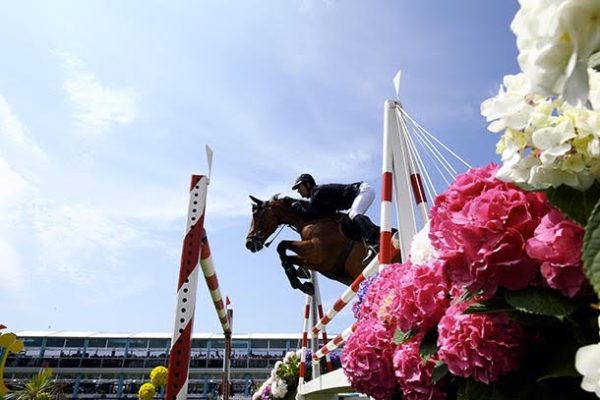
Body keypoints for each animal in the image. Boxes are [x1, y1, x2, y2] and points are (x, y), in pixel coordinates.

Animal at [245, 195, 376, 296]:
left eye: (256, 214)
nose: (248, 243)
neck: (312, 221)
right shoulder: (316, 263)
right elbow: (288, 259)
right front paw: (303, 282)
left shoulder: (317, 252)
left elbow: (281, 245)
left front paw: (298, 282)